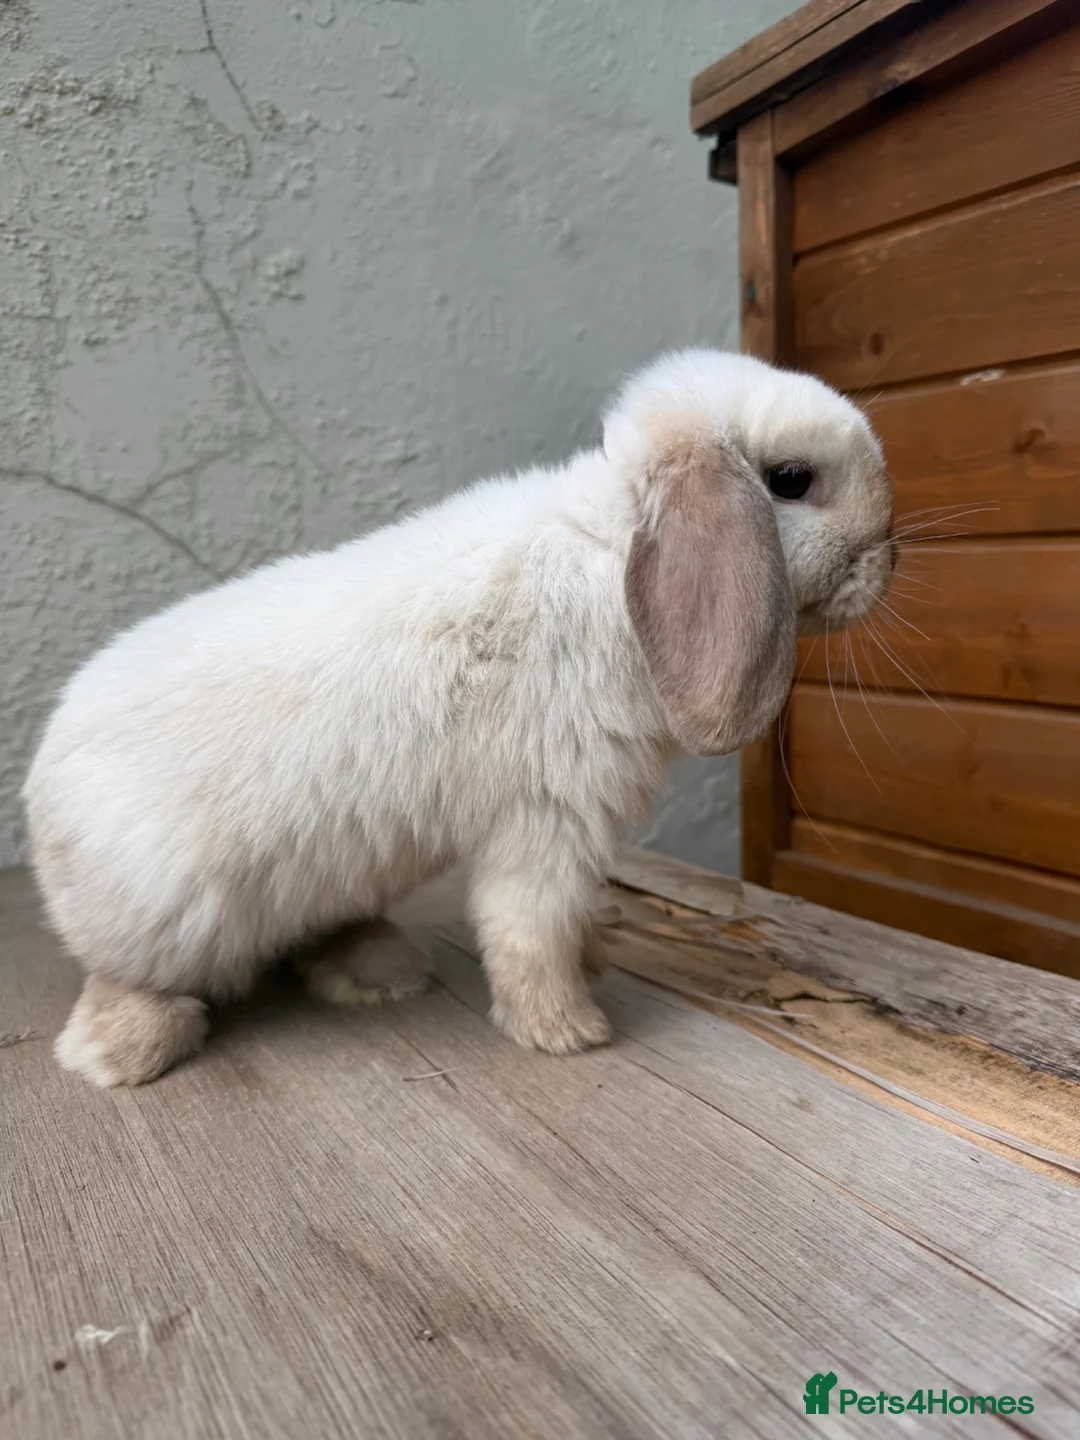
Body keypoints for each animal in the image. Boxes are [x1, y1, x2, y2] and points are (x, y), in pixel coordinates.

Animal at [24, 348, 894, 1087]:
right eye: (791, 479)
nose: (886, 559)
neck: (613, 558)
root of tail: (40, 782)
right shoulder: (547, 816)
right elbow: (530, 927)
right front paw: (568, 1029)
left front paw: (592, 965)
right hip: (161, 914)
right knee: (124, 981)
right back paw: (122, 1052)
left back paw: (382, 971)